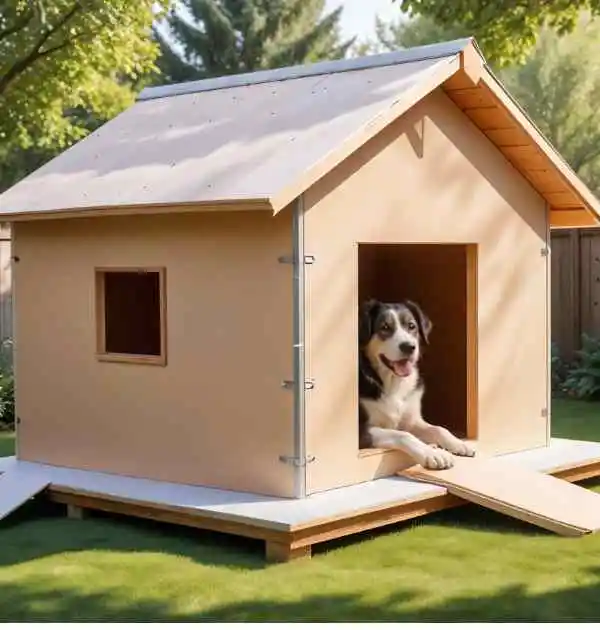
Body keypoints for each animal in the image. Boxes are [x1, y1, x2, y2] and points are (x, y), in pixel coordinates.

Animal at [358, 300, 476, 470]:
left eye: (411, 326)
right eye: (385, 327)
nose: (409, 346)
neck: (393, 382)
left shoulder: (411, 420)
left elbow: (438, 428)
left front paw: (459, 443)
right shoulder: (362, 430)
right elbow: (403, 435)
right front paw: (432, 454)